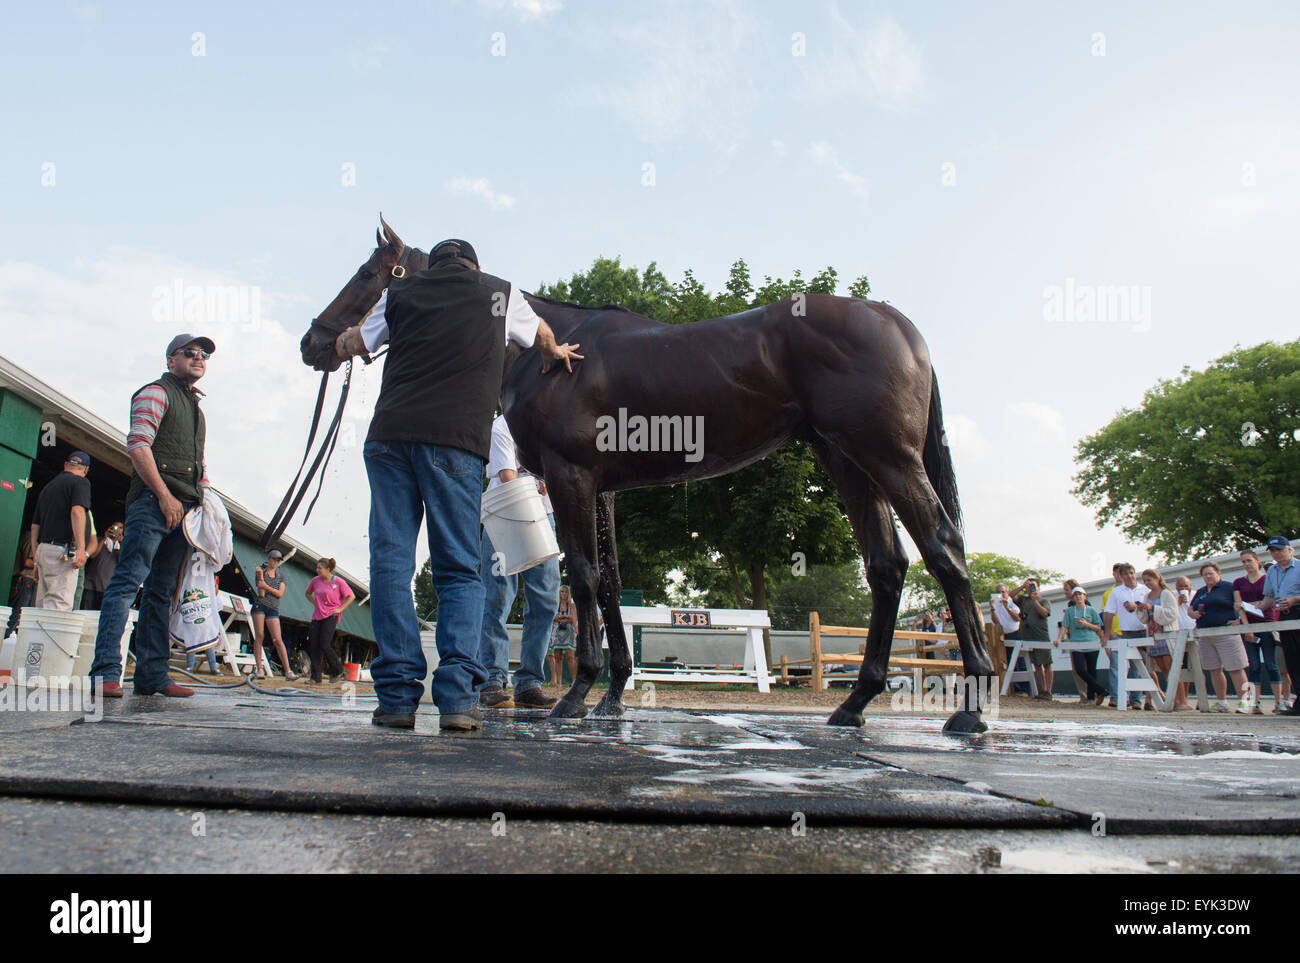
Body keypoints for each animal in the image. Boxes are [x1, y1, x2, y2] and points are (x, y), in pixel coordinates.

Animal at [301, 215, 993, 727]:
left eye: (370, 274)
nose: (315, 342)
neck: (555, 351)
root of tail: (896, 322)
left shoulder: (572, 477)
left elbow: (582, 578)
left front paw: (575, 696)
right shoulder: (602, 489)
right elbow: (609, 584)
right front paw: (611, 695)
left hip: (887, 458)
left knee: (943, 548)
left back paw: (973, 704)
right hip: (847, 462)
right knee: (887, 566)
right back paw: (854, 703)